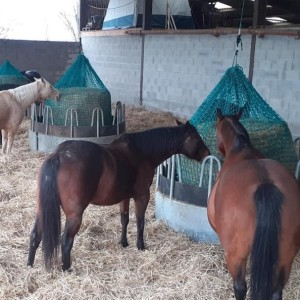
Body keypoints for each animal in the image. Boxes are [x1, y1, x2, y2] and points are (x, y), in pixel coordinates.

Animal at [28, 120, 211, 270]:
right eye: (196, 137)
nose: (207, 153)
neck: (142, 153)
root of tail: (59, 155)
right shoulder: (141, 196)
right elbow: (140, 222)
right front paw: (140, 245)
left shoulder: (124, 197)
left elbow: (125, 219)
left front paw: (123, 243)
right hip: (74, 215)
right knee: (66, 241)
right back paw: (67, 269)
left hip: (43, 210)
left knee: (35, 235)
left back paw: (30, 265)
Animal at [207, 109, 300, 300]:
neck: (241, 148)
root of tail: (264, 184)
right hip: (286, 257)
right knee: (276, 292)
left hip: (237, 255)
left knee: (240, 286)